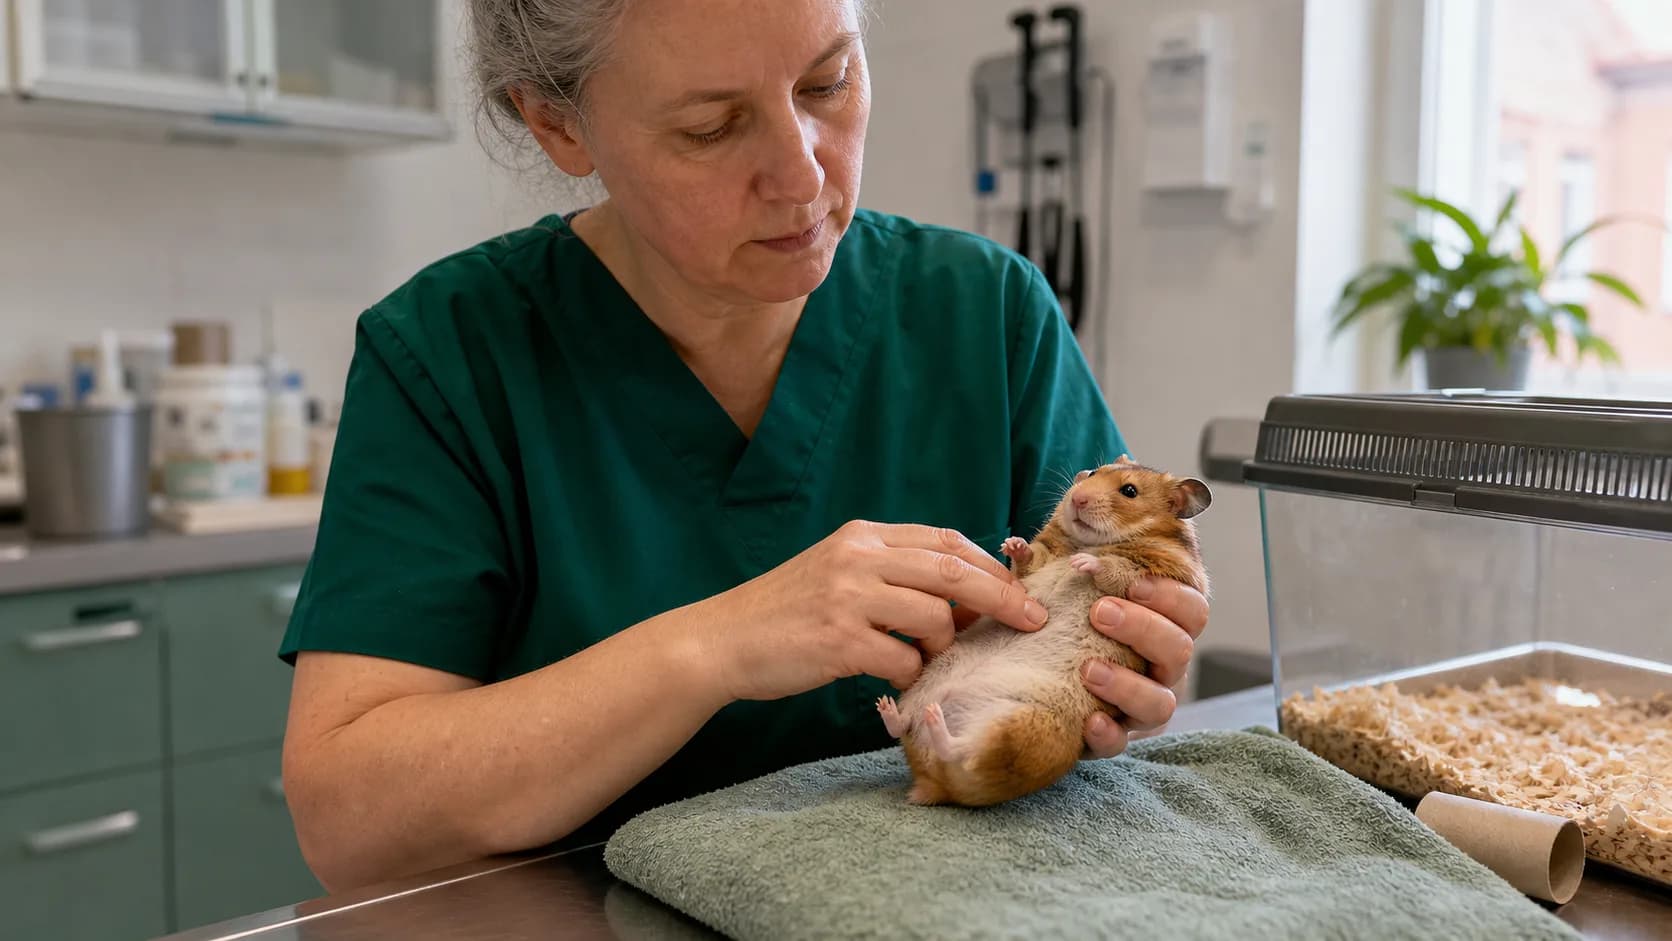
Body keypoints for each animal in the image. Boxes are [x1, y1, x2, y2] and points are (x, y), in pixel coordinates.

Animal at [875, 455, 1212, 807]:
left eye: (1130, 491)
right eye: (1092, 473)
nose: (1078, 499)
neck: (1093, 541)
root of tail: (931, 784)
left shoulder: (1143, 577)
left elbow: (1112, 569)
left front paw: (1083, 563)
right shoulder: (1042, 561)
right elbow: (1030, 559)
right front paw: (1013, 544)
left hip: (1024, 733)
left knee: (966, 758)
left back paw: (933, 724)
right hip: (930, 681)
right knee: (907, 730)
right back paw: (890, 707)